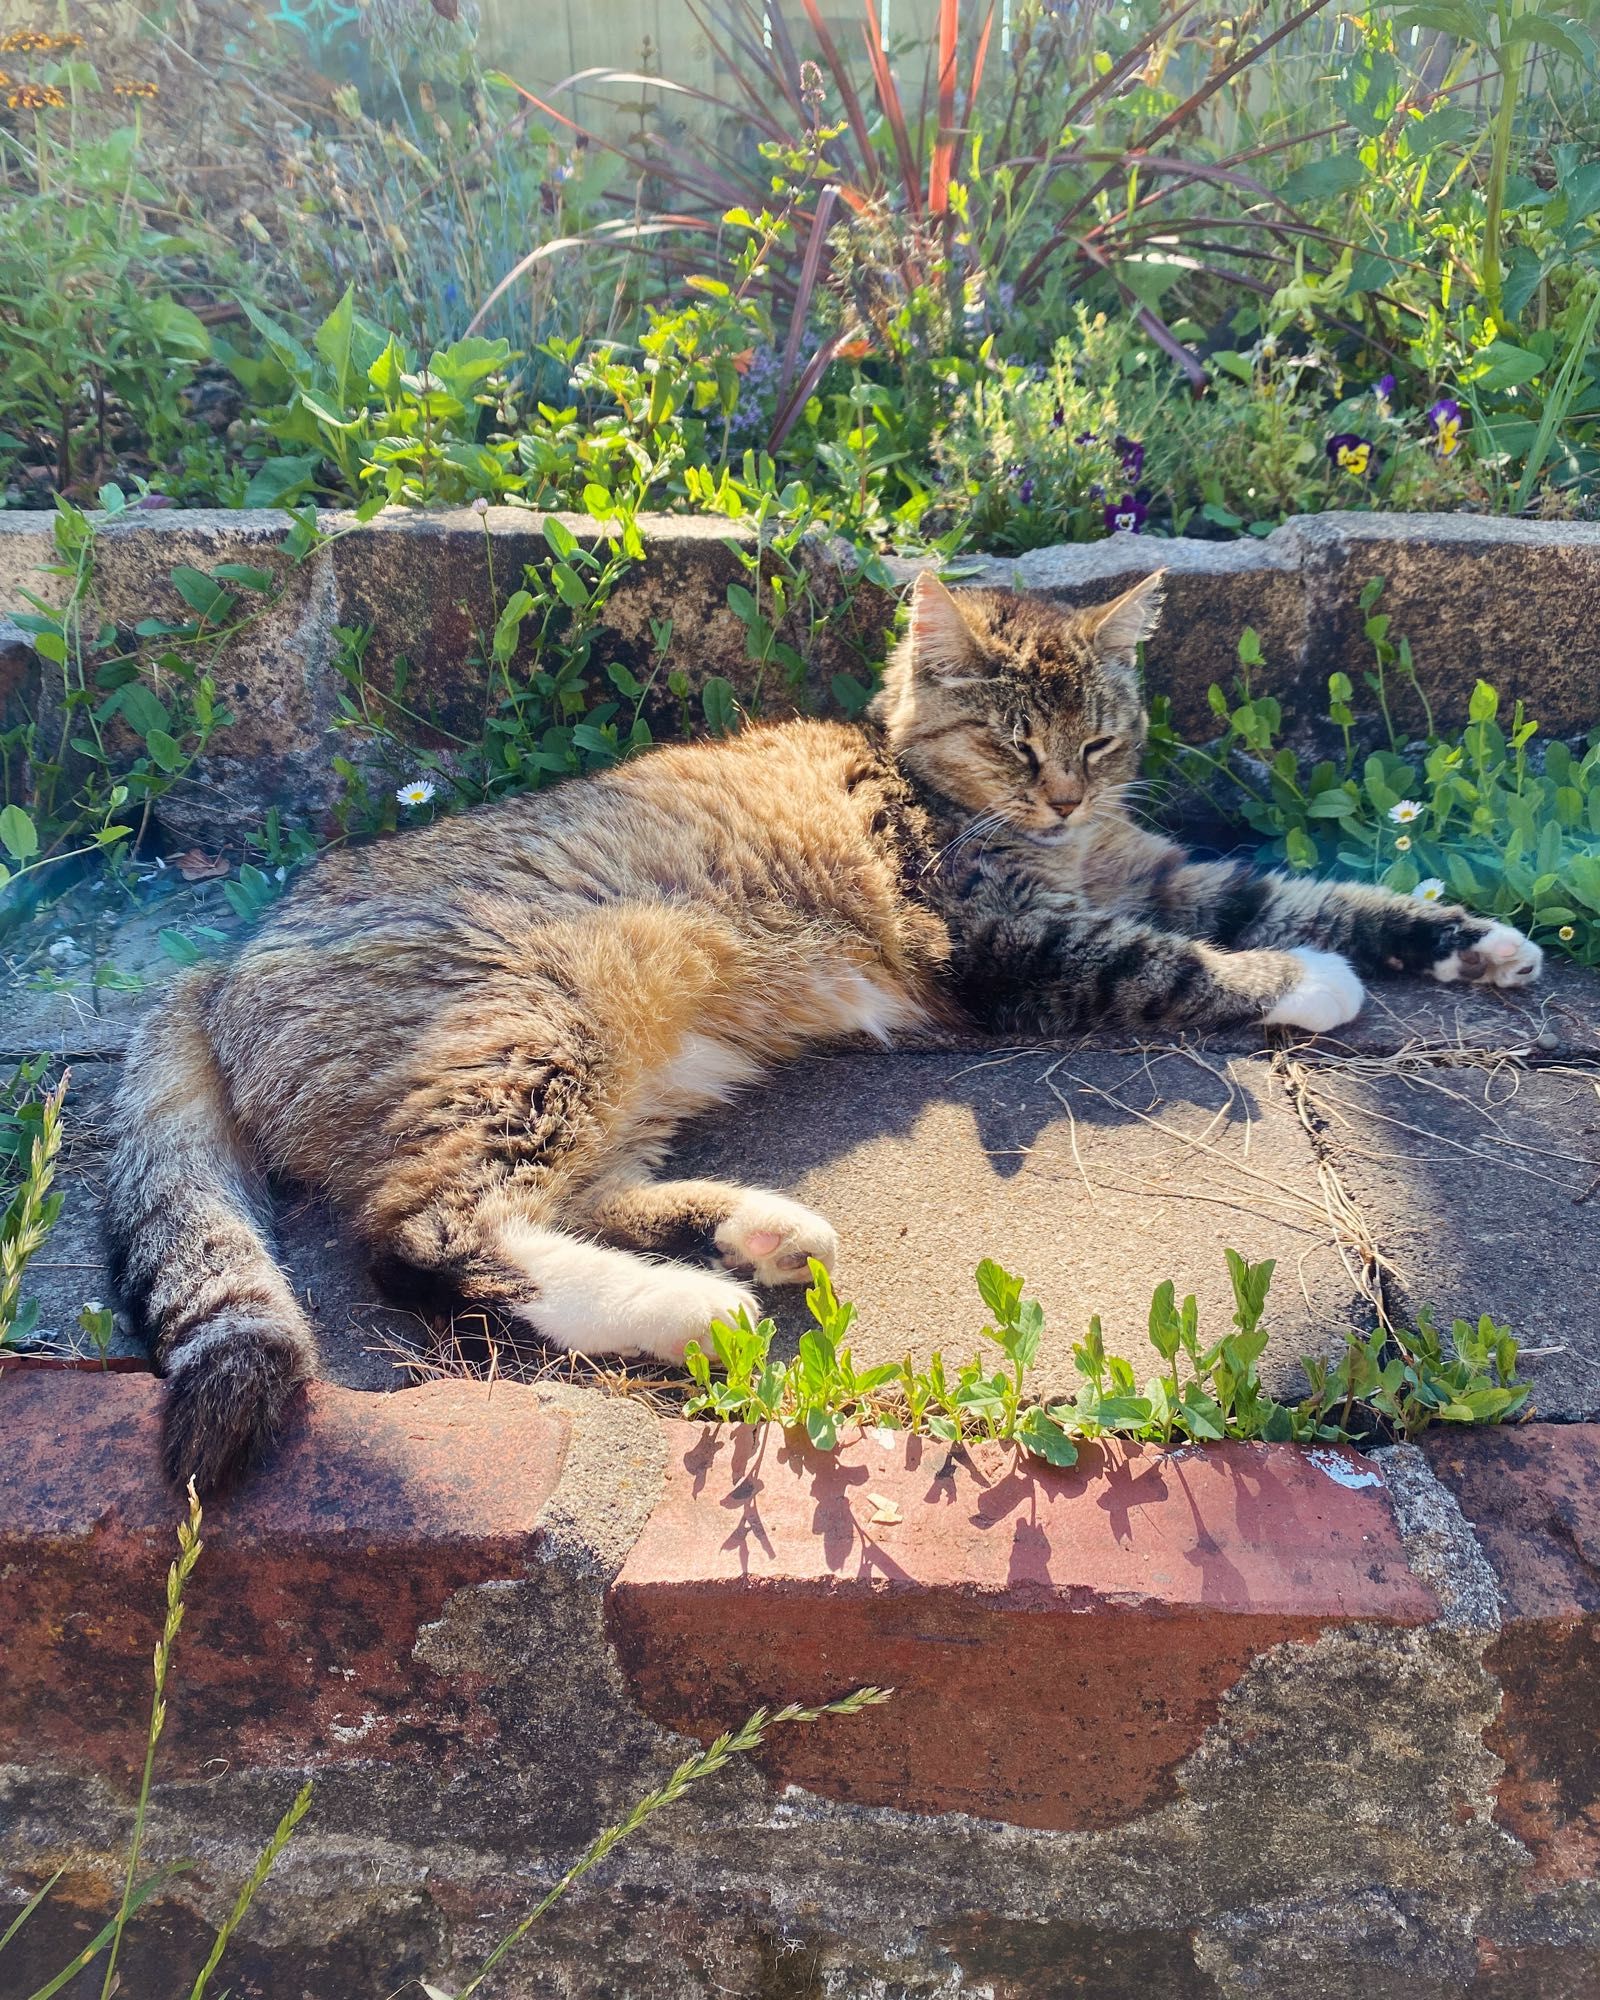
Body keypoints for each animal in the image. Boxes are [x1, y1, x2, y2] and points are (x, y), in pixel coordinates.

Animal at [106, 572, 1544, 1496]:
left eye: (1098, 737)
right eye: (1014, 744)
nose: (1062, 792)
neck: (1049, 840)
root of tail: (218, 964)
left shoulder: (1156, 869)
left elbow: (1303, 893)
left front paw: (1472, 938)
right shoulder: (1011, 944)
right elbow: (1183, 961)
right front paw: (1312, 984)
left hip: (619, 1072)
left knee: (565, 1197)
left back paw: (757, 1234)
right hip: (530, 1023)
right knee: (426, 1232)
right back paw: (695, 1308)